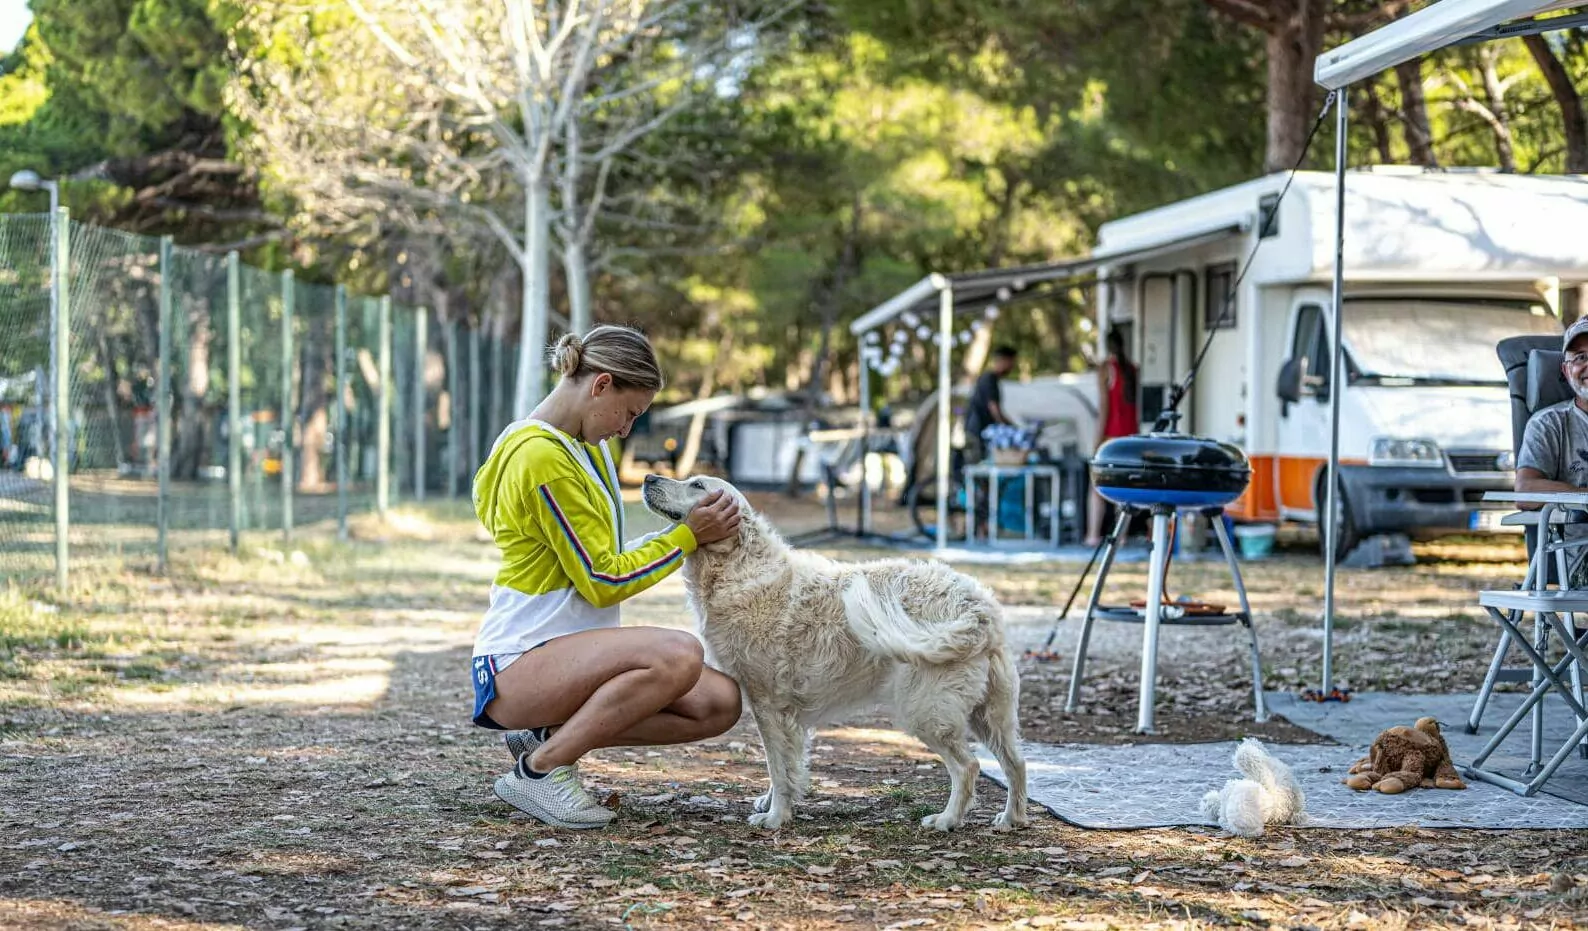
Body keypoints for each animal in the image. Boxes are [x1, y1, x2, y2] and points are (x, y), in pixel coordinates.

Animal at [641, 473, 1029, 832]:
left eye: (696, 485)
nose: (648, 478)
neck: (739, 567)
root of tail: (976, 607)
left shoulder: (769, 705)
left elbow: (778, 767)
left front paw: (775, 817)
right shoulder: (783, 714)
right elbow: (787, 765)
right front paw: (772, 803)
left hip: (926, 710)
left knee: (968, 767)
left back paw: (947, 820)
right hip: (990, 713)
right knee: (1016, 762)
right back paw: (1012, 818)